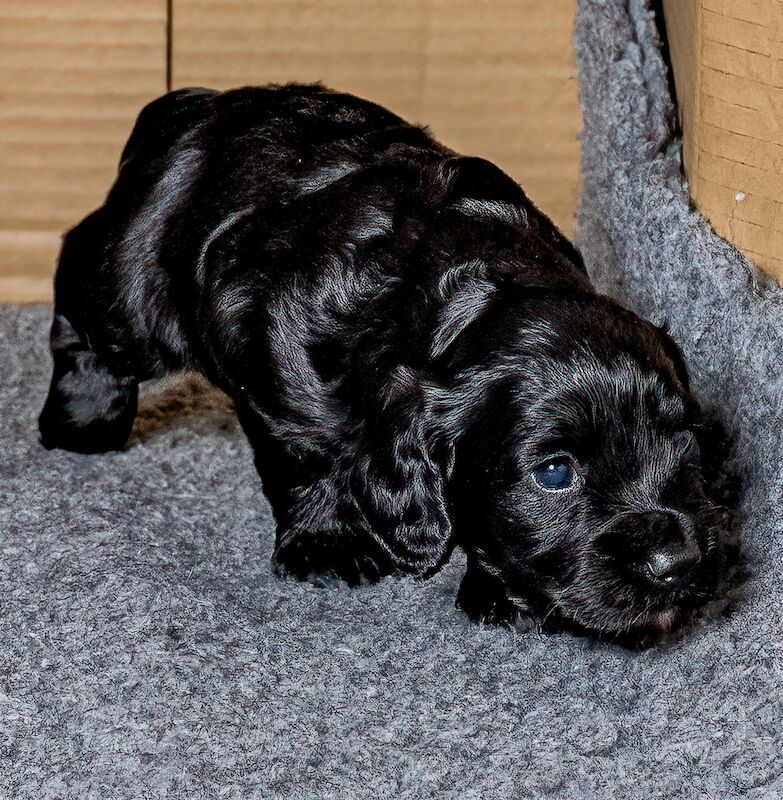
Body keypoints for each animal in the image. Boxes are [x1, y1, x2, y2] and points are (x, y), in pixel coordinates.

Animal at [38, 83, 740, 644]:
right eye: (555, 472)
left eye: (686, 444)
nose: (677, 563)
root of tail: (188, 104)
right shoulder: (274, 358)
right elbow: (306, 458)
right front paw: (328, 546)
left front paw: (498, 588)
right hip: (134, 287)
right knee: (80, 287)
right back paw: (80, 419)